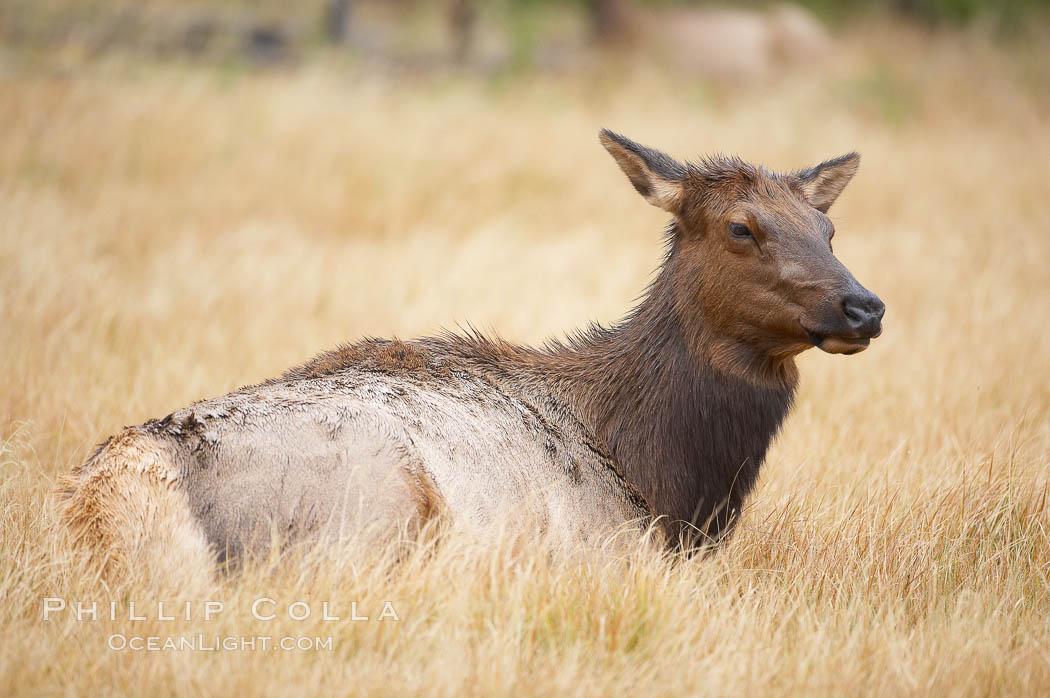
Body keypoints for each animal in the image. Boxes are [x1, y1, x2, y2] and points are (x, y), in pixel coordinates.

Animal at [53, 130, 881, 570]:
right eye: (742, 227)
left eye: (829, 229)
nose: (864, 305)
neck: (661, 481)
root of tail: (110, 492)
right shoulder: (605, 548)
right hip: (371, 502)